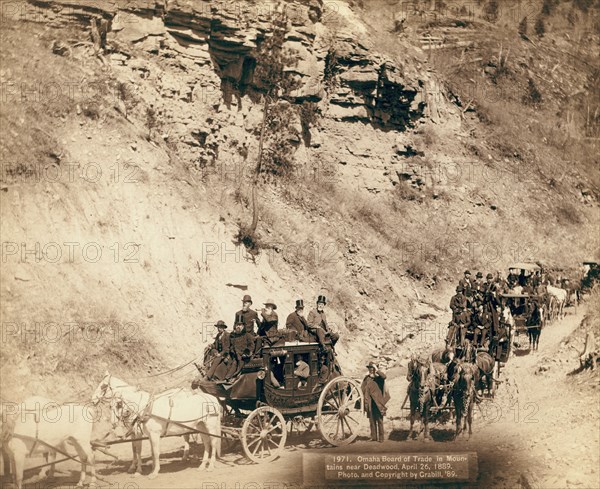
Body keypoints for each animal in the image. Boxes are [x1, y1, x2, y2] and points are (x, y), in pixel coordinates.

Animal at [92, 372, 224, 474]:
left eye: (103, 386)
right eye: (110, 406)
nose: (92, 400)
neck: (145, 408)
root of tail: (212, 399)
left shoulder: (144, 433)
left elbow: (146, 451)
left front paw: (145, 471)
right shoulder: (143, 434)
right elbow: (143, 450)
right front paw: (143, 467)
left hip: (210, 426)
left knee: (213, 442)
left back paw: (209, 465)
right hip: (200, 426)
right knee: (206, 443)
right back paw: (201, 465)